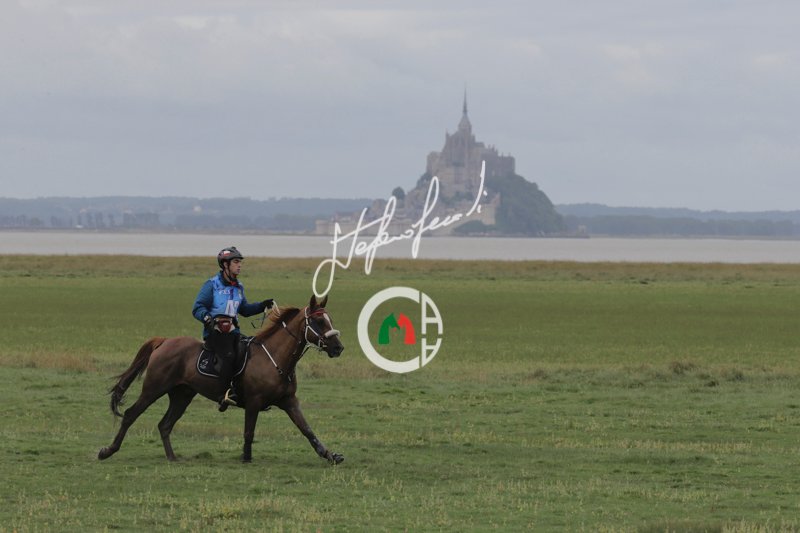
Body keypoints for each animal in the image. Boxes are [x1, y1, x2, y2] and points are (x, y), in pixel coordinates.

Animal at [98, 294, 344, 464]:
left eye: (330, 319)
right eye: (319, 322)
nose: (338, 347)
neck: (274, 359)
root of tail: (165, 341)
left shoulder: (289, 402)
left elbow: (307, 429)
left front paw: (329, 455)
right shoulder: (253, 403)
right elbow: (249, 432)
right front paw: (246, 458)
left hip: (182, 395)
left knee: (165, 424)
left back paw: (172, 457)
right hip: (153, 389)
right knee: (131, 414)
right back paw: (107, 451)